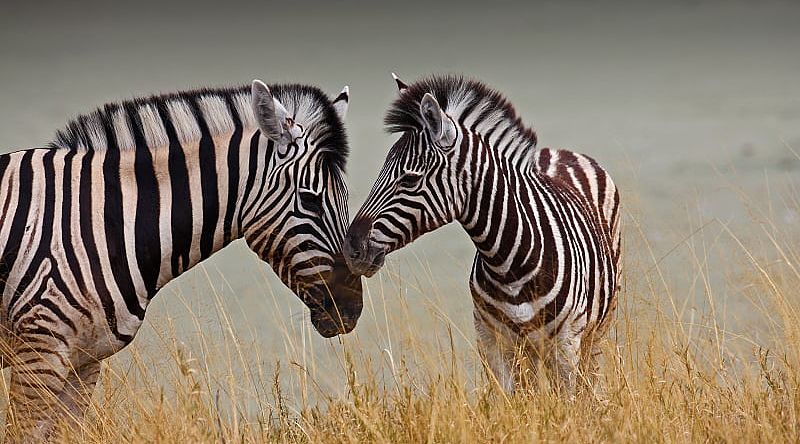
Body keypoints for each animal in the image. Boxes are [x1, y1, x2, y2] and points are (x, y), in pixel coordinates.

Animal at [342, 74, 620, 394]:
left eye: (409, 179)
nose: (351, 249)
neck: (511, 262)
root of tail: (558, 151)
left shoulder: (566, 342)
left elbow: (568, 399)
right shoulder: (491, 340)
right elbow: (511, 401)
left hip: (595, 331)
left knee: (589, 380)